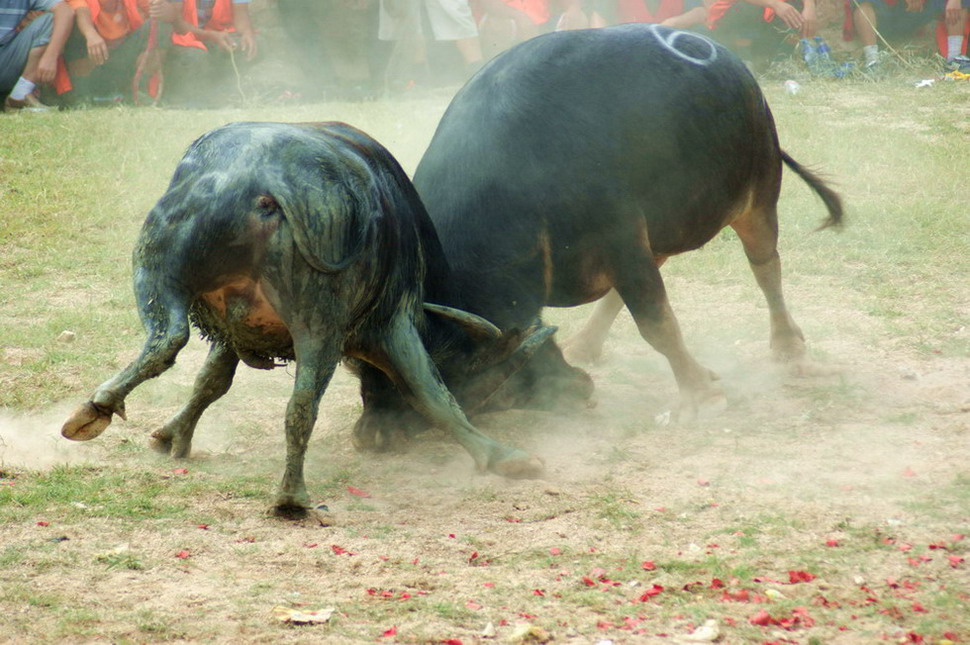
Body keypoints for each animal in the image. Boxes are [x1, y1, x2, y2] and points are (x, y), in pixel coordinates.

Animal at [60, 119, 544, 512]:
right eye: (471, 379)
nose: (394, 437)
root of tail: (265, 180)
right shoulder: (394, 318)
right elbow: (433, 393)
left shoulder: (244, 331)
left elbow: (211, 381)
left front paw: (171, 436)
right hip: (318, 320)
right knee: (299, 401)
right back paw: (291, 496)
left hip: (164, 265)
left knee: (170, 340)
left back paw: (95, 410)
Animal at [354, 23, 840, 438]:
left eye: (481, 393)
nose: (375, 435)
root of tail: (736, 68)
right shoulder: (625, 244)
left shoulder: (620, 236)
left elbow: (657, 322)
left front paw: (701, 395)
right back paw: (586, 344)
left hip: (758, 193)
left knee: (766, 268)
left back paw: (789, 347)